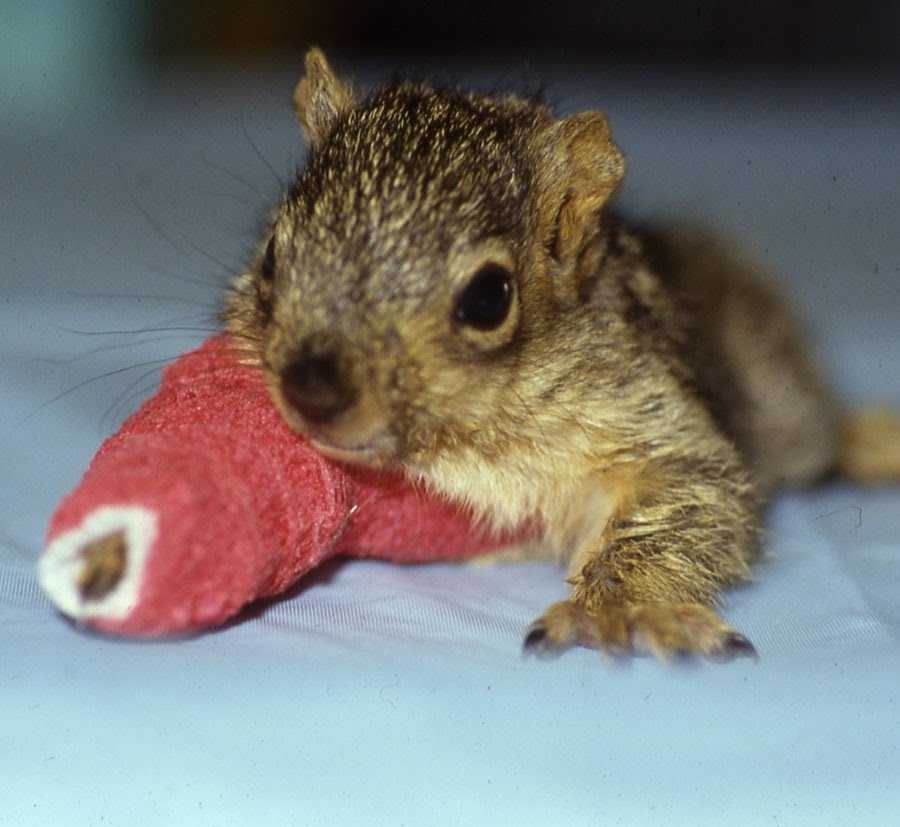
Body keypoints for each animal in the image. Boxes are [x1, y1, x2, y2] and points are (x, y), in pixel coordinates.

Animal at [229, 48, 900, 664]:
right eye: (272, 253)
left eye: (488, 298)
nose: (312, 389)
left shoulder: (654, 413)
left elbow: (691, 494)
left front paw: (622, 608)